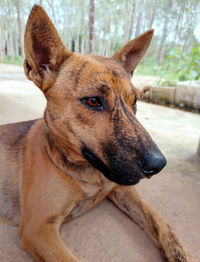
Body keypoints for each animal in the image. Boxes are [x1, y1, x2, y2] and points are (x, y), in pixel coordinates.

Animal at [0, 4, 195, 262]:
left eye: (135, 103)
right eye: (93, 101)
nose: (158, 164)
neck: (88, 173)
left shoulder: (123, 187)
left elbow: (163, 224)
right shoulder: (38, 228)